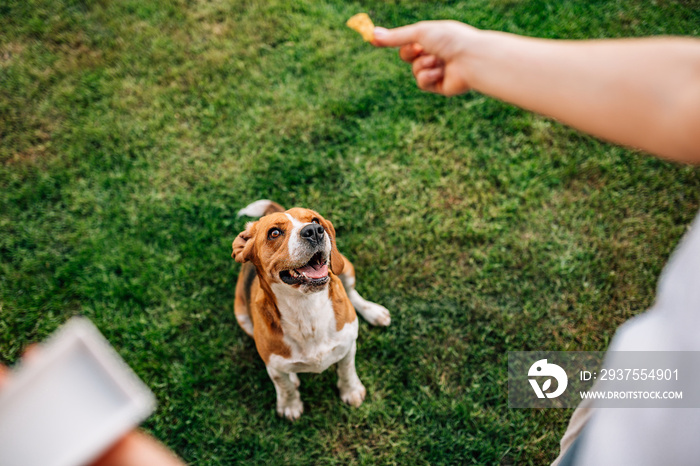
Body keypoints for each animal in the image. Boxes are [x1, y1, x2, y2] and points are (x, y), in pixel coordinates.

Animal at [232, 198, 392, 420]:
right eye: (274, 233)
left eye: (315, 220)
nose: (314, 231)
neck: (306, 308)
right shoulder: (272, 365)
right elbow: (284, 386)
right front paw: (290, 405)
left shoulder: (348, 345)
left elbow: (347, 369)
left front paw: (351, 391)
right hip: (241, 315)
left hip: (346, 269)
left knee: (351, 292)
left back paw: (374, 312)